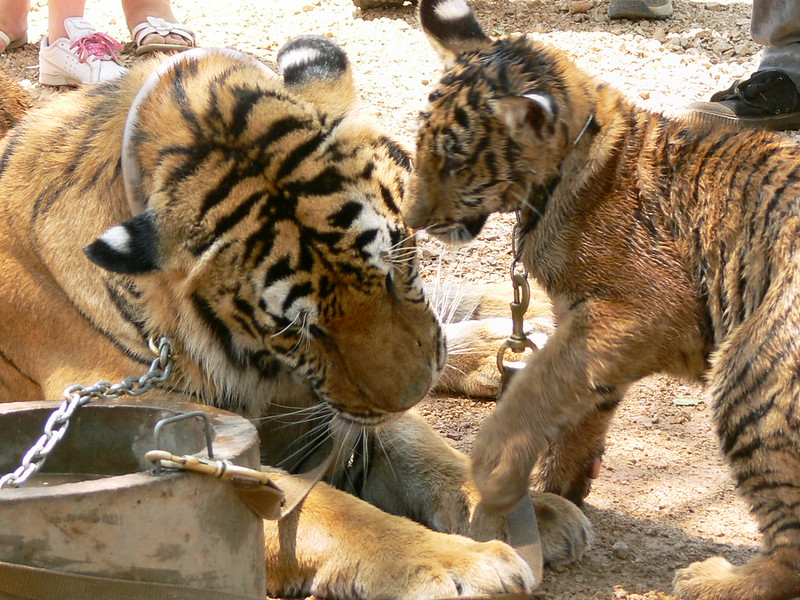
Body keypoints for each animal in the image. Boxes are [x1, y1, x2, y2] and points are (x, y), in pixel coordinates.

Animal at [0, 37, 588, 600]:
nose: (413, 392)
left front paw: (530, 512)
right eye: (299, 328)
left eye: (397, 260)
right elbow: (334, 510)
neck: (263, 364)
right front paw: (461, 562)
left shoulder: (332, 405)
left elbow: (423, 448)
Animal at [410, 1, 800, 600]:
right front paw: (557, 492)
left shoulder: (641, 309)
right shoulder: (591, 324)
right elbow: (576, 410)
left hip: (750, 370)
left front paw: (498, 474)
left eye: (453, 161)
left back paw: (712, 581)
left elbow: (537, 389)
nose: (409, 218)